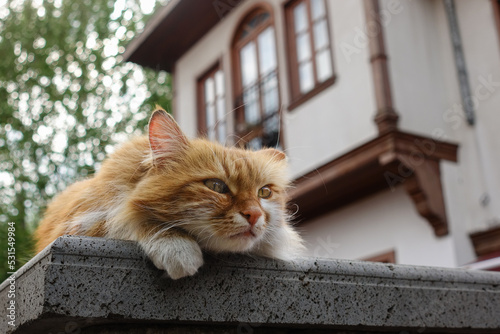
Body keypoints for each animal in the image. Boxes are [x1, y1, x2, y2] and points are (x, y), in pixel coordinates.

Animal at [35, 108, 304, 278]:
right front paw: (175, 246)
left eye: (264, 193)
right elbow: (127, 217)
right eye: (216, 186)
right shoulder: (82, 223)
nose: (255, 215)